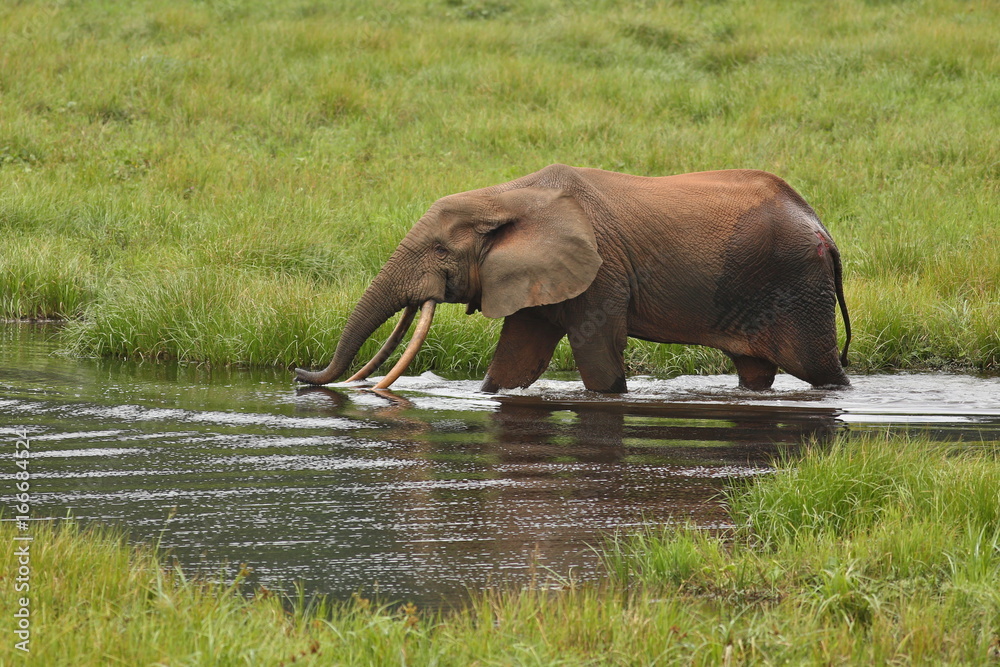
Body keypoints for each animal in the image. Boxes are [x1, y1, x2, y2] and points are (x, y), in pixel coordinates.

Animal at [295, 164, 851, 393]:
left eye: (439, 250)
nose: (300, 376)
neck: (505, 195)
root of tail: (825, 229)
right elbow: (516, 358)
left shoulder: (601, 270)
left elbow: (598, 355)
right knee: (755, 370)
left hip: (797, 287)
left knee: (820, 368)